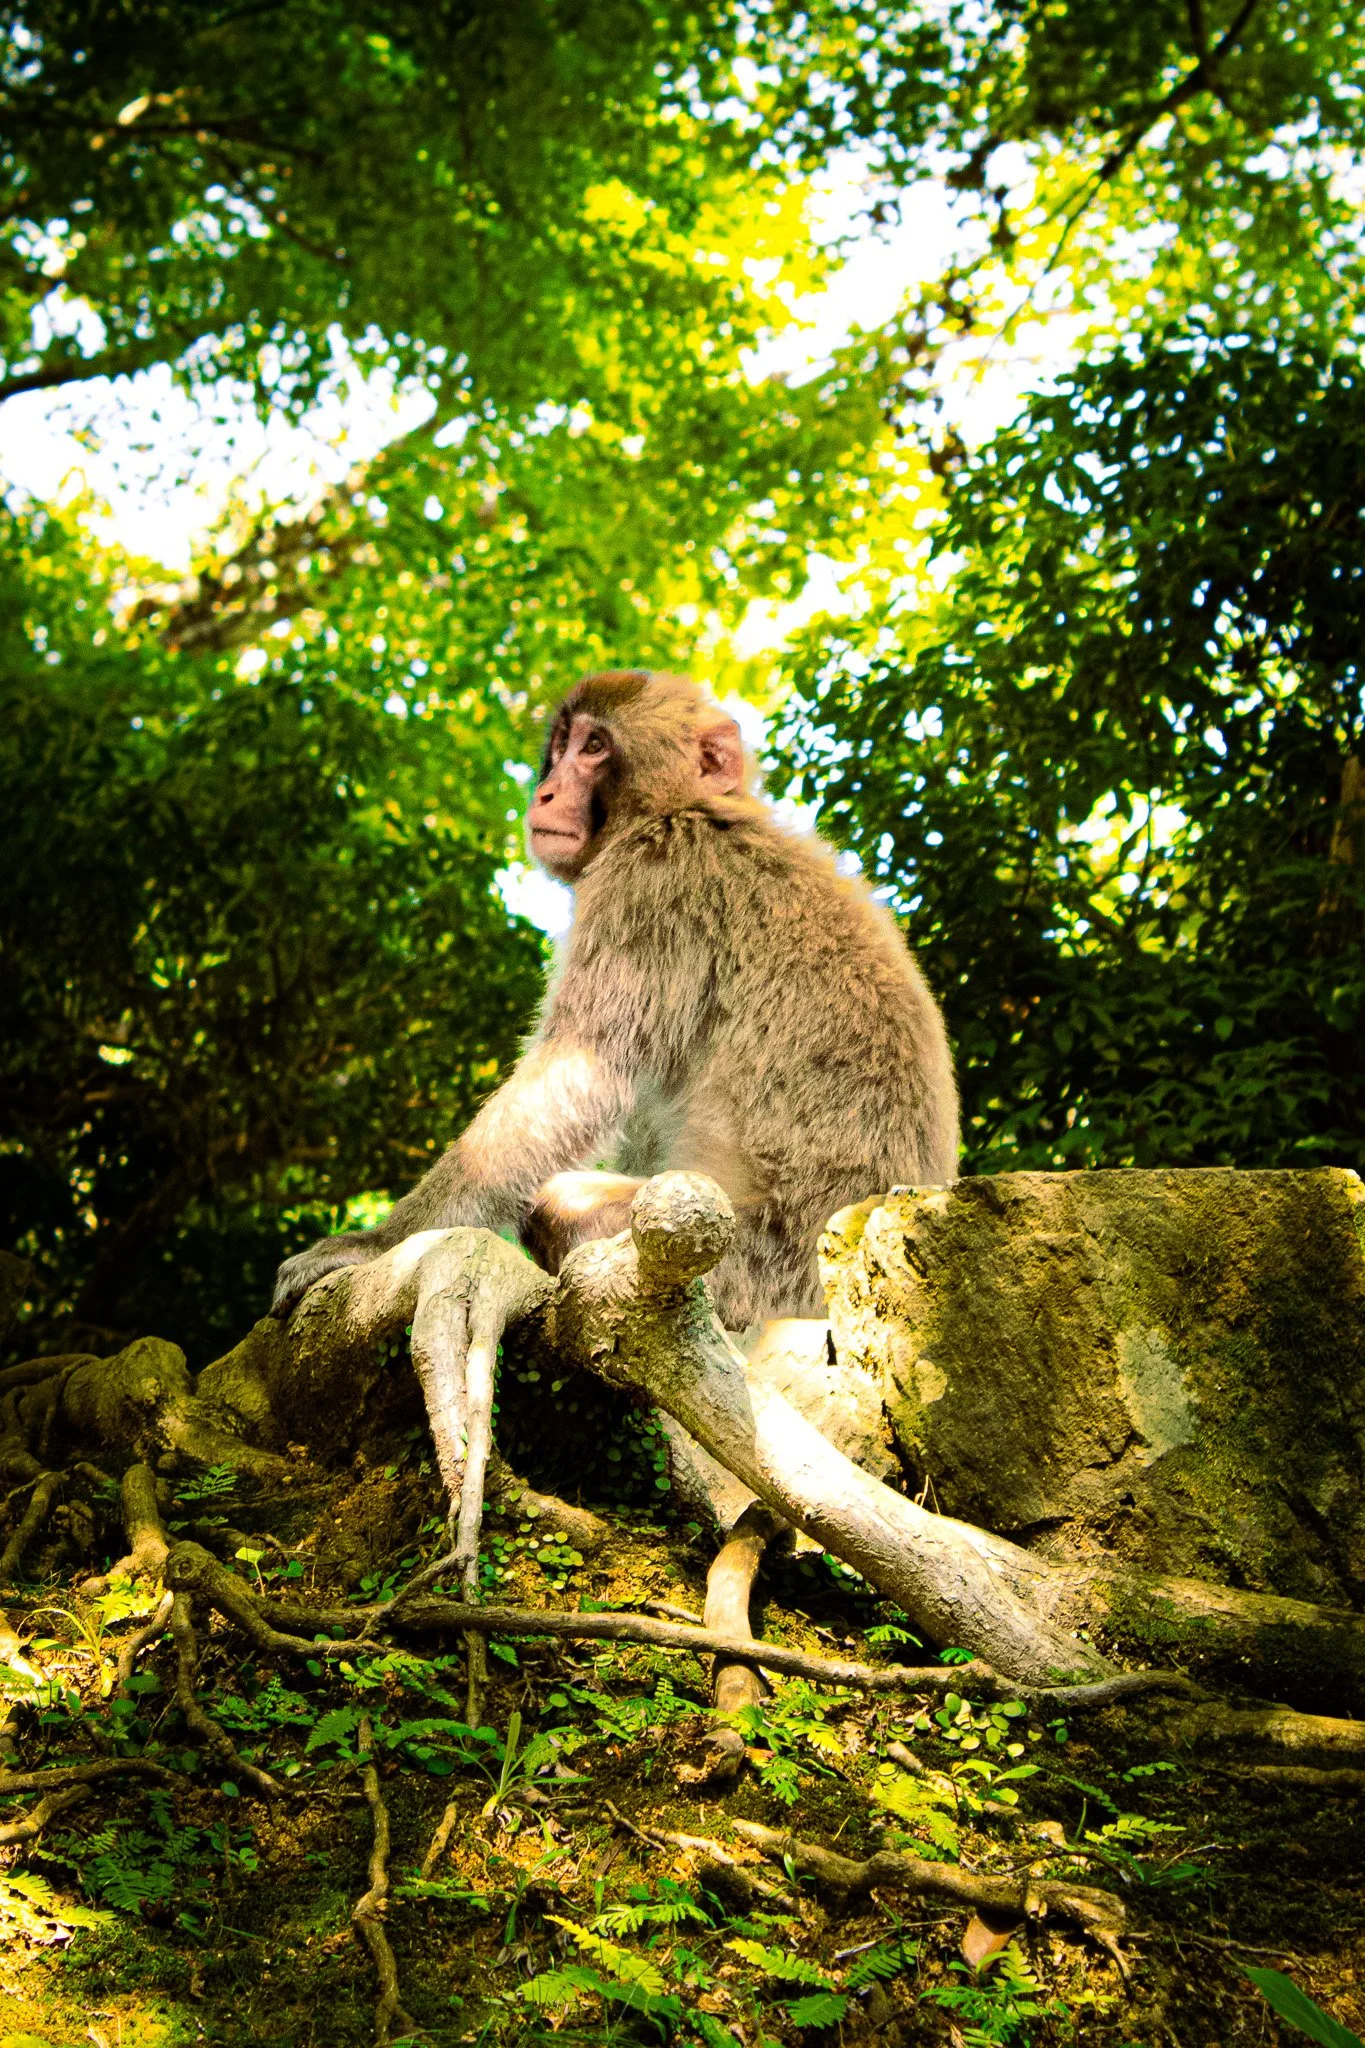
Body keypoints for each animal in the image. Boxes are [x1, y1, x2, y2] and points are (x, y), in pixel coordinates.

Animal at [271, 668, 959, 1327]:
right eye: (560, 746)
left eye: (595, 747)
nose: (545, 792)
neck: (684, 808)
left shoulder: (651, 877)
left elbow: (577, 1074)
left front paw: (378, 1242)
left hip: (745, 1271)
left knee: (563, 1200)